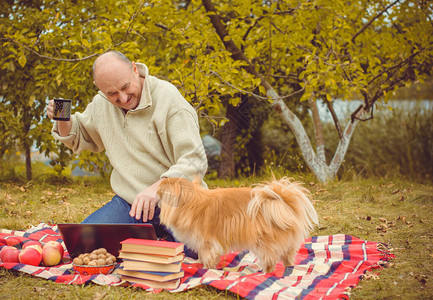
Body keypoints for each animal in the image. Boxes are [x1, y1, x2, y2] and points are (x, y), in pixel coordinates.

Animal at [158, 177, 318, 274]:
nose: (158, 185)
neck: (191, 203)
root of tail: (283, 204)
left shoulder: (207, 243)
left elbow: (207, 258)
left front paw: (206, 269)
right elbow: (203, 257)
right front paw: (199, 264)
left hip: (263, 243)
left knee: (271, 261)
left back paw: (264, 273)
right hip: (289, 247)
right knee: (288, 260)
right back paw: (287, 270)